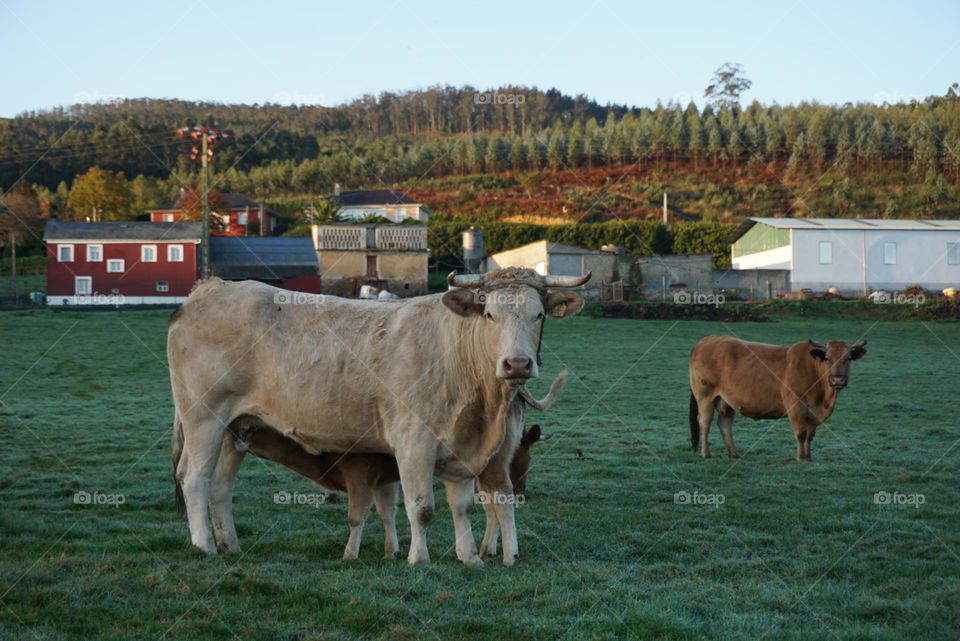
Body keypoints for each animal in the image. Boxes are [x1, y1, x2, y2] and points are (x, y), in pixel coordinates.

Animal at [688, 336, 868, 460]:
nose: (838, 380)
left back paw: (734, 453)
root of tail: (708, 339)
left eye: (848, 359)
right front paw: (800, 457)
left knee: (724, 424)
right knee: (704, 423)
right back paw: (706, 453)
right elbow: (801, 433)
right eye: (828, 358)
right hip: (705, 397)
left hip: (727, 401)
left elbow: (810, 435)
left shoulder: (812, 412)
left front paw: (808, 457)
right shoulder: (796, 406)